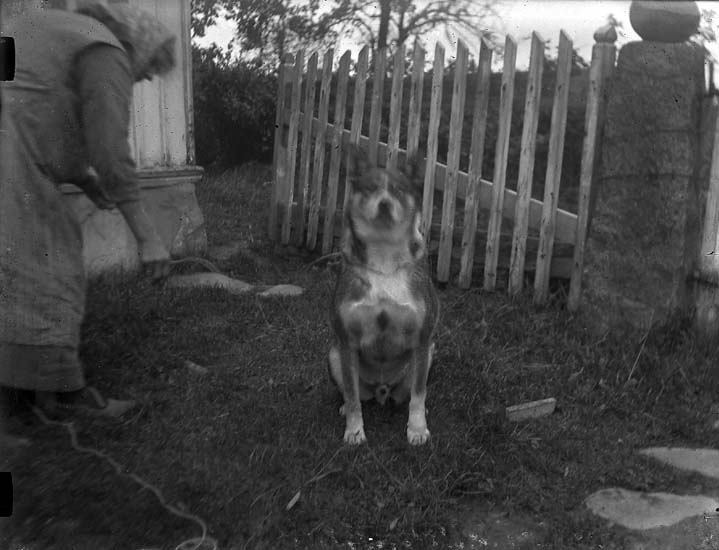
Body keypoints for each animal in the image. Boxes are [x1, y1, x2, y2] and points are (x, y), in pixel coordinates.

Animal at [328, 145, 439, 446]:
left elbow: (418, 394)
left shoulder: (423, 339)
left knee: (410, 394)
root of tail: (382, 389)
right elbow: (353, 396)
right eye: (370, 189)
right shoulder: (346, 341)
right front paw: (355, 431)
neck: (385, 262)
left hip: (428, 355)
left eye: (399, 190)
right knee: (355, 393)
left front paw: (417, 429)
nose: (385, 204)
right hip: (333, 355)